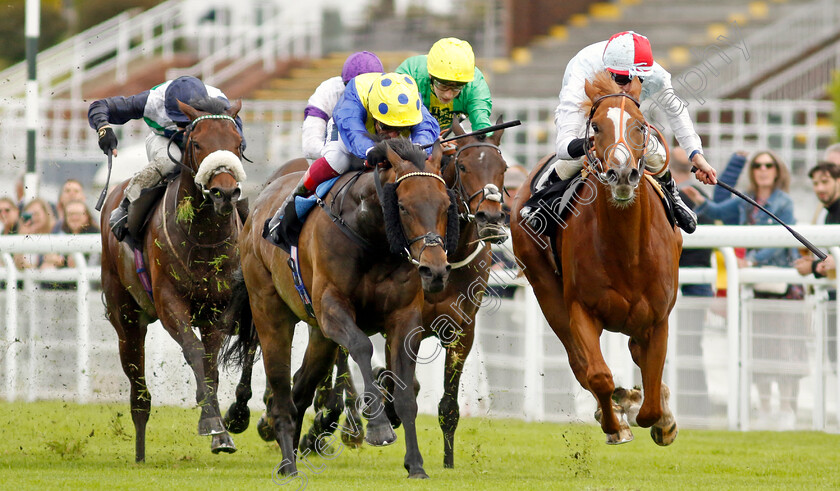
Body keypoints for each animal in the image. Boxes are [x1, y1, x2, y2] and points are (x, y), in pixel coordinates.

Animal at [100, 98, 248, 464]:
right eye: (197, 144)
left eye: (238, 144)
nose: (225, 192)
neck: (205, 238)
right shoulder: (168, 302)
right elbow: (193, 351)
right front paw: (209, 420)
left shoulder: (219, 310)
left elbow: (209, 363)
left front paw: (220, 433)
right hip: (126, 317)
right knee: (138, 386)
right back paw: (139, 452)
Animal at [223, 138, 456, 480]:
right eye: (402, 206)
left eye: (445, 205)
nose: (435, 271)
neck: (373, 237)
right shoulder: (332, 308)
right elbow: (360, 346)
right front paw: (377, 427)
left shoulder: (404, 319)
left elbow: (405, 394)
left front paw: (415, 464)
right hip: (270, 310)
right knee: (280, 388)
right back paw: (288, 461)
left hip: (319, 337)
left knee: (300, 390)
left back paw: (290, 453)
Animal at [508, 72, 680, 446]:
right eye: (597, 127)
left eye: (640, 126)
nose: (622, 174)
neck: (628, 251)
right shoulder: (580, 309)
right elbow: (598, 374)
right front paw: (616, 424)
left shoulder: (659, 318)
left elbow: (652, 391)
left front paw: (660, 418)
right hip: (546, 291)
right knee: (579, 362)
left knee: (636, 353)